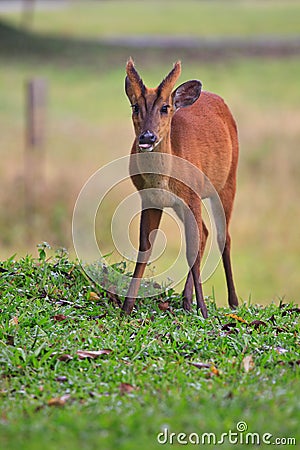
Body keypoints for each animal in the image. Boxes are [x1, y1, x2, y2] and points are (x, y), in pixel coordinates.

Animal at [122, 58, 239, 318]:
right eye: (135, 107)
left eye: (165, 108)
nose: (147, 137)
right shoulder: (151, 199)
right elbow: (144, 247)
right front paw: (126, 307)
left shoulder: (192, 195)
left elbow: (192, 249)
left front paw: (203, 310)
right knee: (205, 231)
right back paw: (186, 300)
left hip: (228, 180)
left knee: (222, 236)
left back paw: (233, 302)